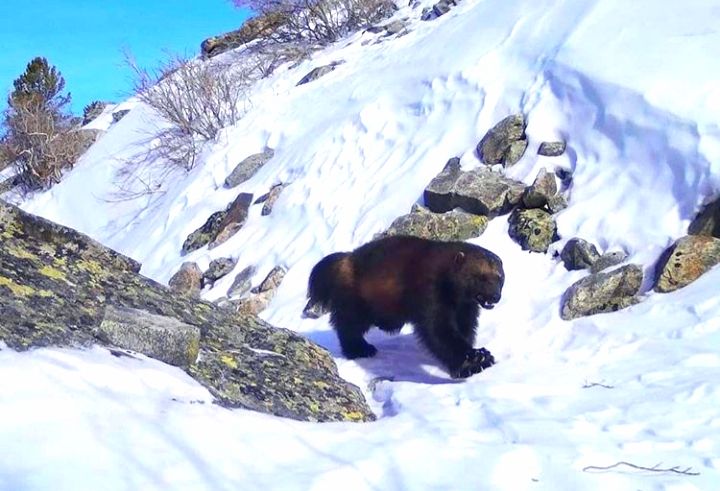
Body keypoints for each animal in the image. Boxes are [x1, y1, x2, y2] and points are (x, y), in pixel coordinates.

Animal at [304, 235, 504, 378]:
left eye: (500, 277)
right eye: (480, 277)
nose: (495, 296)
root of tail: (345, 258)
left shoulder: (466, 307)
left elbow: (465, 329)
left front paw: (477, 353)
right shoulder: (430, 291)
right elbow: (438, 331)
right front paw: (473, 360)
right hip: (356, 300)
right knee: (348, 326)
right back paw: (360, 349)